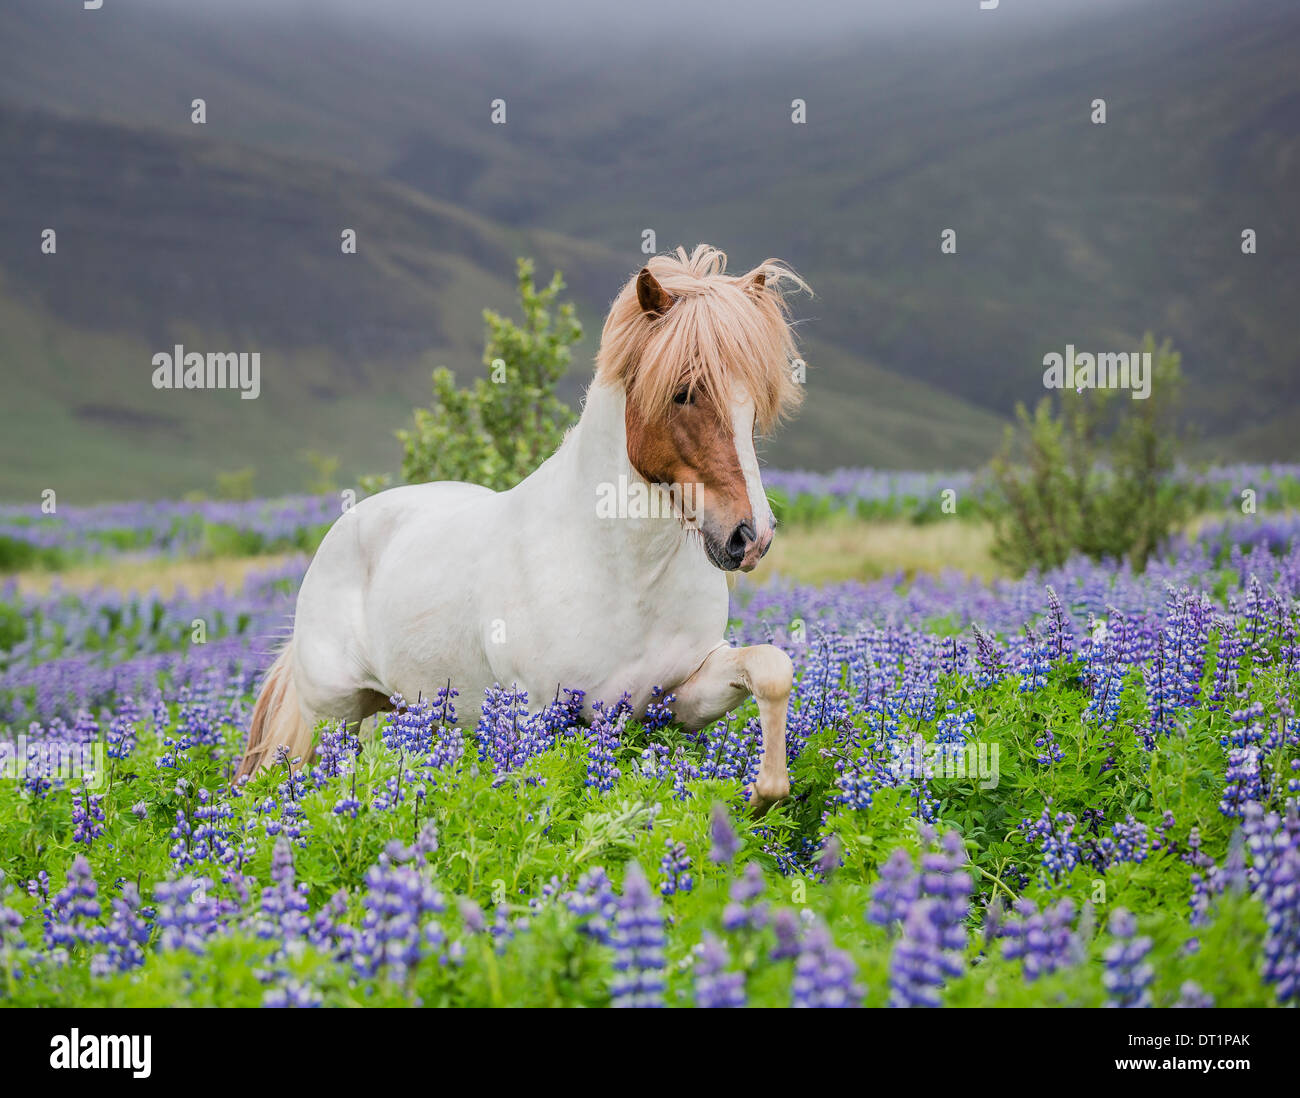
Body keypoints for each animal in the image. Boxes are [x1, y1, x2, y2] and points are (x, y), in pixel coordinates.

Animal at [237, 244, 809, 812]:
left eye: (755, 402)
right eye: (684, 392)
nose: (750, 536)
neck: (626, 575)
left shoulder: (678, 697)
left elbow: (772, 669)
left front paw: (762, 794)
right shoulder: (541, 711)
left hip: (411, 710)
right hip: (333, 717)